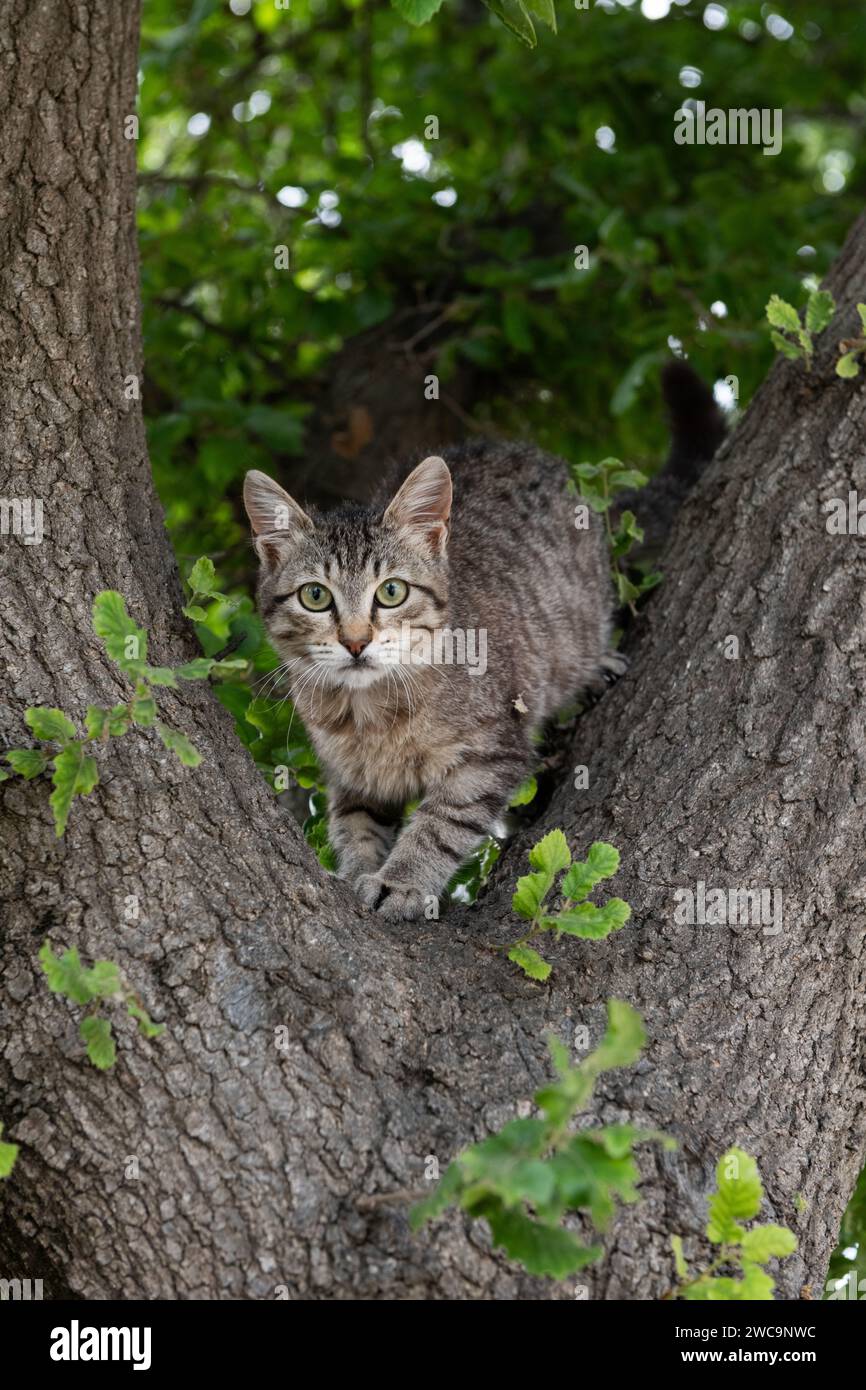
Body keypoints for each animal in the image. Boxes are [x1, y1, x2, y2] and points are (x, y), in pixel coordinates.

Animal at [240, 364, 722, 917]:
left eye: (391, 591)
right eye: (316, 596)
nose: (356, 642)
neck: (369, 712)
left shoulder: (491, 752)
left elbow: (440, 824)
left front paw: (402, 882)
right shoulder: (353, 780)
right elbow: (354, 827)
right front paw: (359, 873)